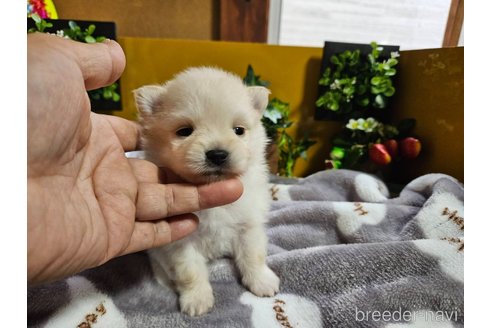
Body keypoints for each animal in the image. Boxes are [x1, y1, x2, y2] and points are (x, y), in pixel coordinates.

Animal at [135, 66, 278, 316]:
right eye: (185, 131)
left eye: (239, 130)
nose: (218, 154)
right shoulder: (180, 240)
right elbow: (189, 272)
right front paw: (197, 299)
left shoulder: (248, 226)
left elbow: (254, 254)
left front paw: (261, 281)